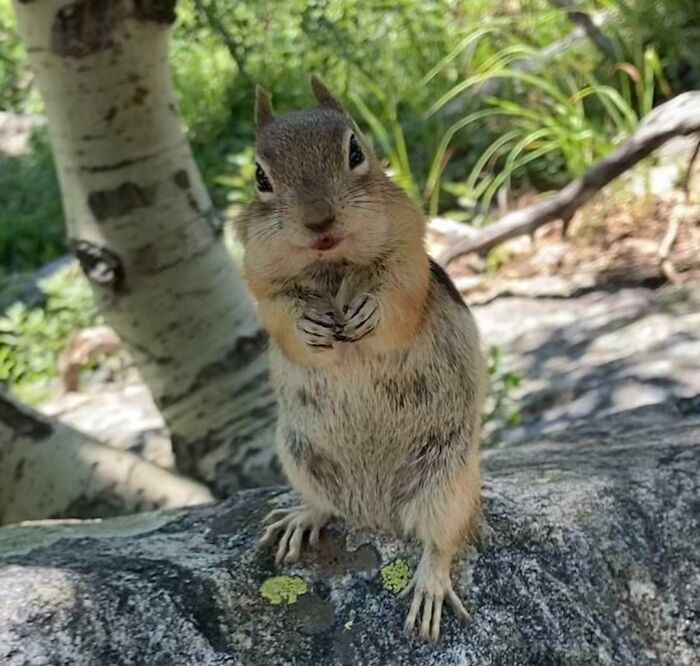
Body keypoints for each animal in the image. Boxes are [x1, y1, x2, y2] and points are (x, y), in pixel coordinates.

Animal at [235, 78, 486, 640]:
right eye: (260, 176)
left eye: (355, 151)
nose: (318, 220)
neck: (331, 266)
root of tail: (377, 518)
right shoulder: (259, 281)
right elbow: (281, 314)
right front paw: (309, 324)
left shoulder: (411, 256)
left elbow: (395, 297)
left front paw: (367, 310)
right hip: (298, 456)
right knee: (326, 506)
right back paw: (300, 519)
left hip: (447, 478)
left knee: (441, 541)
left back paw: (429, 589)